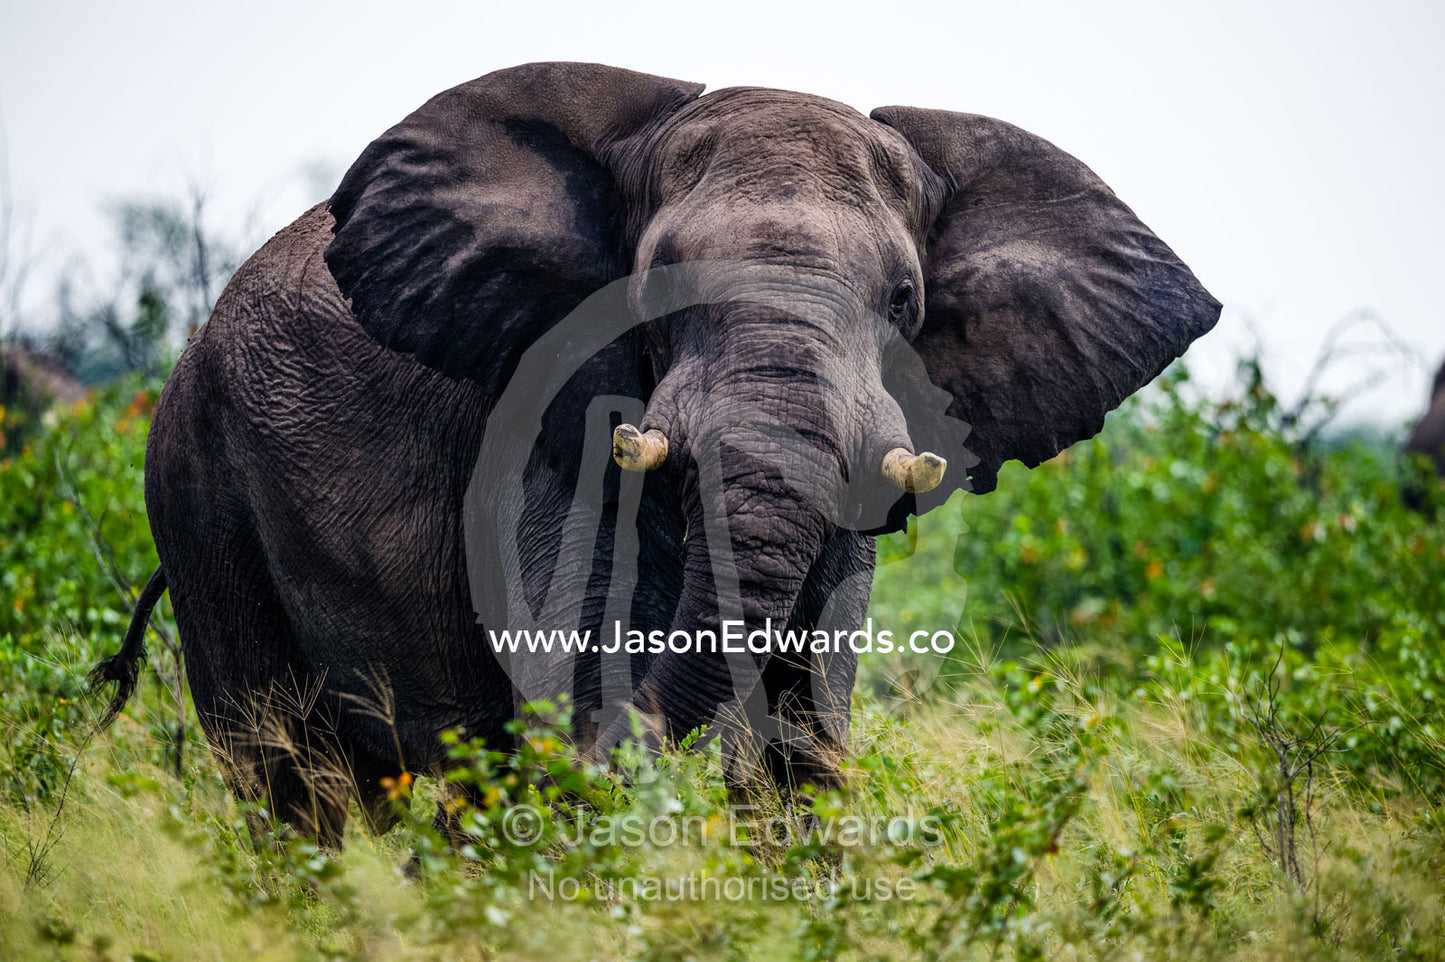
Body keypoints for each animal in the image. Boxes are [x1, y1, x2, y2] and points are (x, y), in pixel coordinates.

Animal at [91, 62, 1219, 845]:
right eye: (655, 285)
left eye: (903, 302)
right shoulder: (536, 432)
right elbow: (593, 673)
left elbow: (804, 723)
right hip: (196, 484)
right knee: (290, 779)